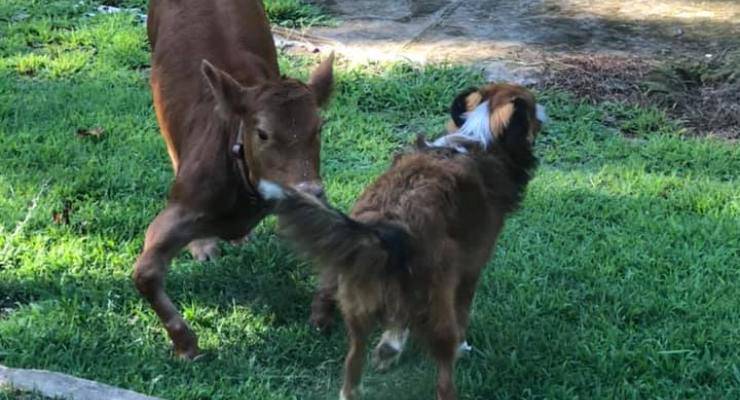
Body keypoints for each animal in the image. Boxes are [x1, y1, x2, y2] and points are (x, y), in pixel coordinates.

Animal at [136, 0, 336, 360]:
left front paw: (322, 314)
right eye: (263, 133)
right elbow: (145, 274)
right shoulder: (185, 203)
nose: (310, 191)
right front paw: (186, 344)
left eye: (319, 128)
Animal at [260, 83, 544, 398]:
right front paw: (458, 347)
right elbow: (459, 314)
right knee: (444, 374)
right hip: (438, 307)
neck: (478, 137)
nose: (543, 113)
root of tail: (388, 231)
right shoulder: (470, 270)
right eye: (532, 108)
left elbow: (396, 325)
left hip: (357, 307)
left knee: (352, 363)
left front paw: (388, 350)